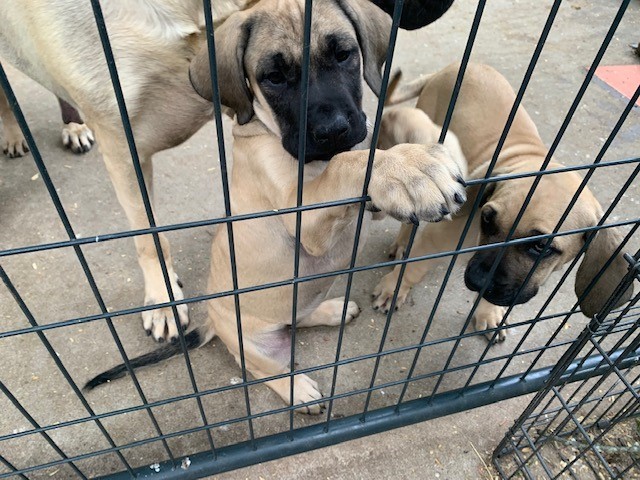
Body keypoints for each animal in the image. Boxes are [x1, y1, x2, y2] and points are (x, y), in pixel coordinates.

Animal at [85, 0, 464, 412]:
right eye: (274, 78)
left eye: (344, 55)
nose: (332, 130)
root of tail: (212, 321)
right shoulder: (303, 216)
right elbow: (349, 164)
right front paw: (408, 169)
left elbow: (377, 144)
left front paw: (419, 156)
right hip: (248, 342)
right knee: (263, 368)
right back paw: (297, 389)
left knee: (296, 318)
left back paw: (332, 310)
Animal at [372, 62, 632, 342]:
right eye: (487, 218)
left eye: (541, 246)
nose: (477, 280)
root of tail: (453, 66)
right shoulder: (435, 241)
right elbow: (412, 269)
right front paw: (393, 289)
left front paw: (488, 312)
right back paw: (402, 242)